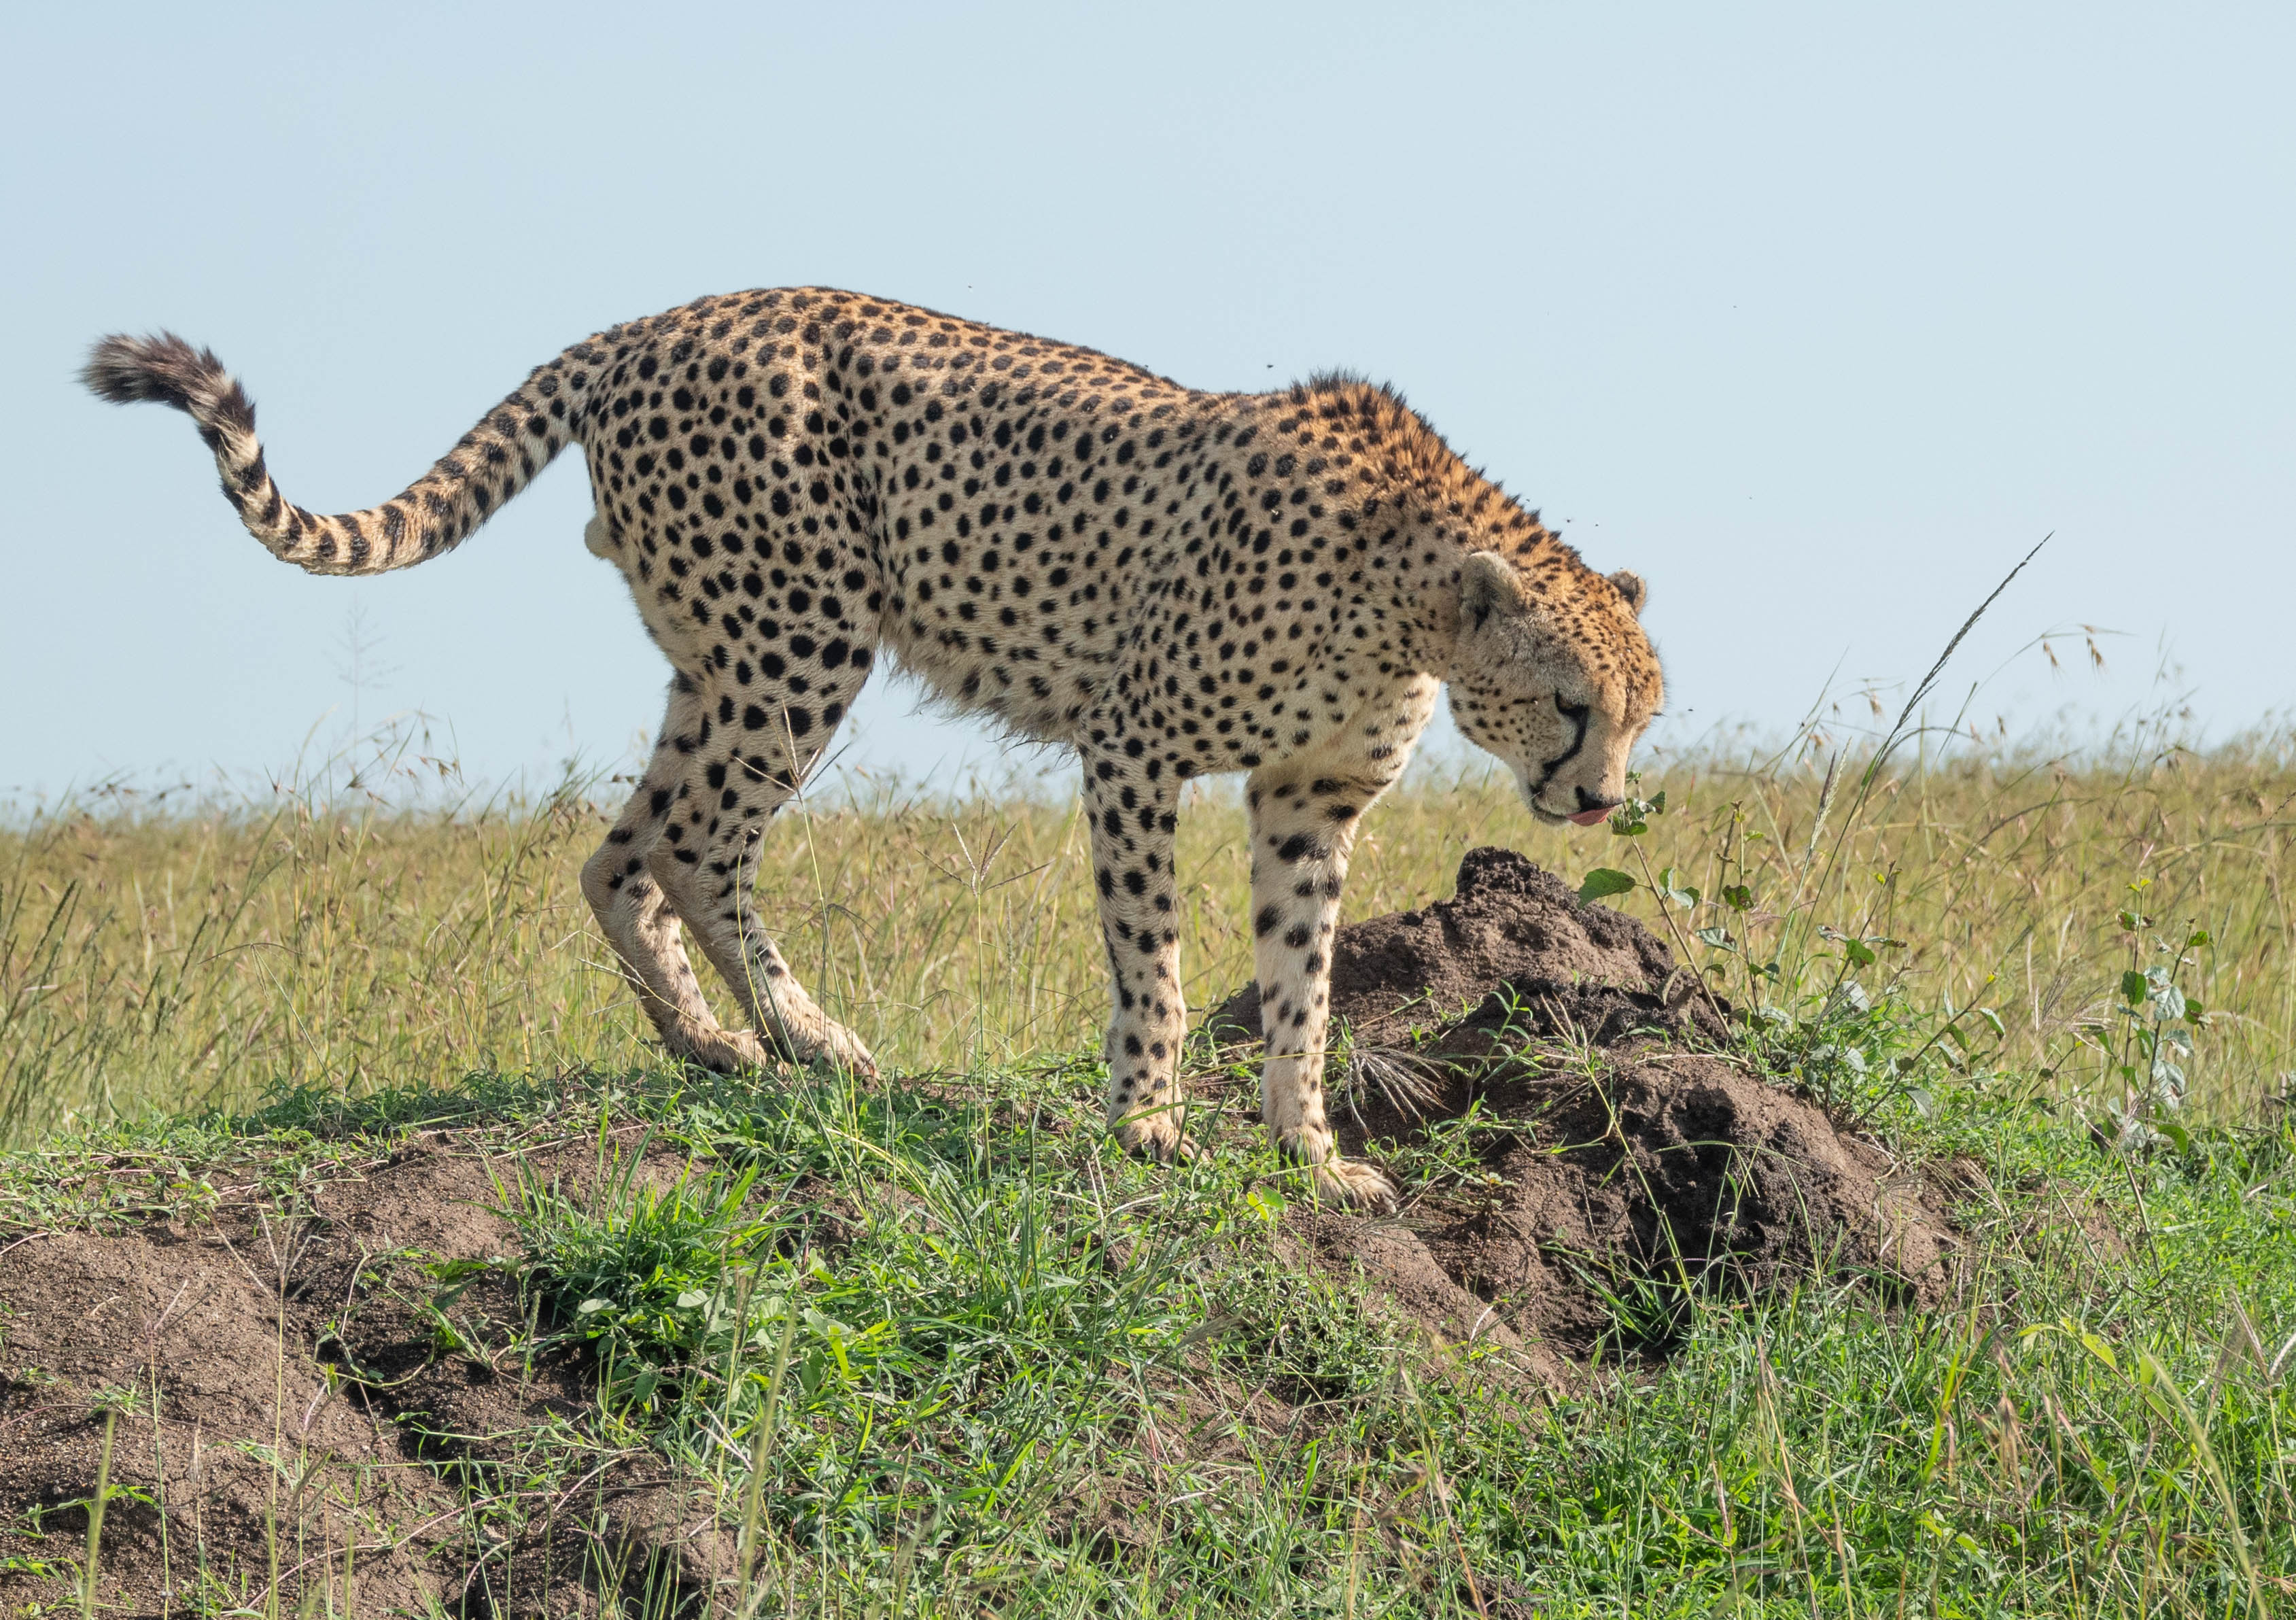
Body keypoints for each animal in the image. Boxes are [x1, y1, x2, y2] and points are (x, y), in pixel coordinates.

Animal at [82, 288, 1663, 1210]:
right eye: (1571, 705)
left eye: (1642, 714)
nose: (1597, 799)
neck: (1413, 593)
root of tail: (664, 315)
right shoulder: (1133, 747)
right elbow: (1152, 958)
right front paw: (1150, 1119)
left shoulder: (1305, 802)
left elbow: (1304, 982)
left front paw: (1310, 1151)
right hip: (801, 638)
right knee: (697, 845)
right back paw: (815, 1039)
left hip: (718, 656)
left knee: (620, 850)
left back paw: (713, 1040)